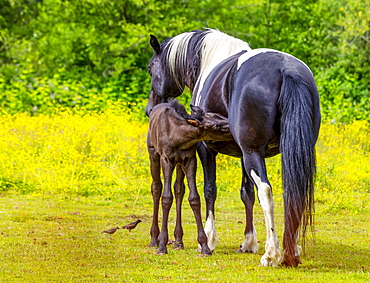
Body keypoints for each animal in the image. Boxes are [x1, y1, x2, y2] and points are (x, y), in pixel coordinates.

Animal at [147, 101, 231, 256]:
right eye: (216, 126)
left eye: (220, 115)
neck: (180, 138)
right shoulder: (165, 158)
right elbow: (166, 198)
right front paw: (162, 245)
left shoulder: (190, 159)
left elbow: (194, 198)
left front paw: (205, 246)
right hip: (153, 153)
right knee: (156, 187)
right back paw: (154, 239)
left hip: (179, 164)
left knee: (179, 189)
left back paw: (178, 241)